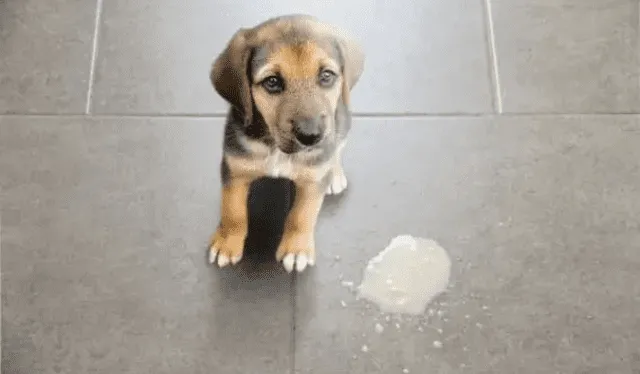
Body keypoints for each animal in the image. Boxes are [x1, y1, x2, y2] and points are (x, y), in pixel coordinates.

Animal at [208, 15, 362, 272]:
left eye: (326, 76)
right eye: (272, 82)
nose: (311, 136)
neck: (276, 149)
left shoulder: (312, 179)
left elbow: (302, 215)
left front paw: (296, 250)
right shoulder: (235, 168)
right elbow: (233, 211)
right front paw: (227, 243)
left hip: (342, 122)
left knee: (337, 149)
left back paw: (335, 174)